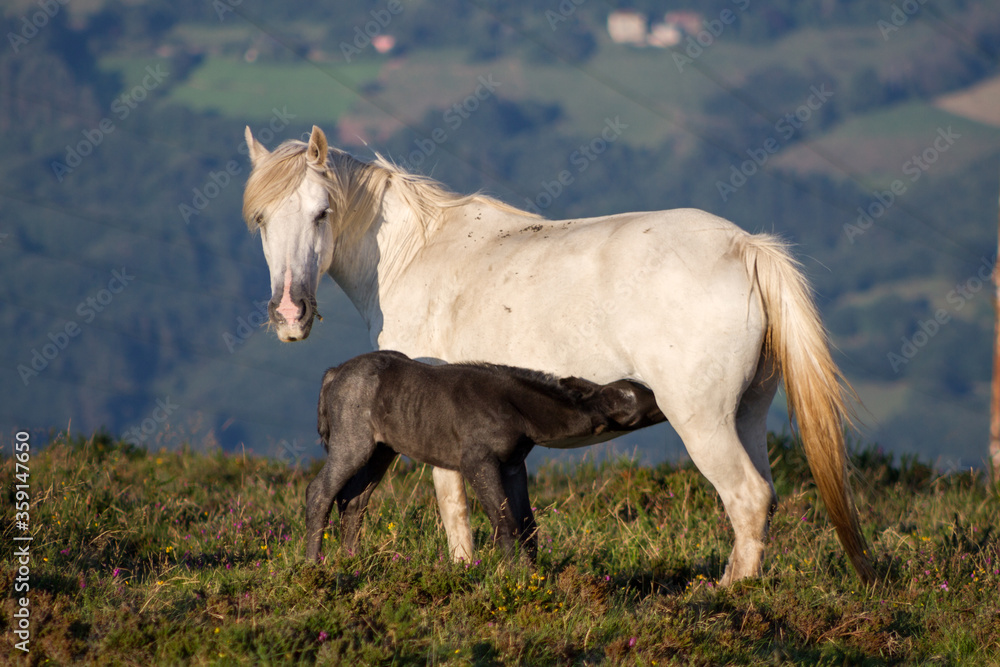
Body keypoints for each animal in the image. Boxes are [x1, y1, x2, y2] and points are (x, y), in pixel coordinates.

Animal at [306, 350, 666, 563]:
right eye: (638, 398)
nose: (665, 401)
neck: (518, 411)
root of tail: (333, 373)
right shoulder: (477, 462)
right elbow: (504, 523)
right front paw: (515, 579)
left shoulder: (513, 466)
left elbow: (528, 526)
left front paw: (535, 576)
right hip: (353, 442)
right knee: (320, 492)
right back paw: (312, 564)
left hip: (383, 450)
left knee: (354, 500)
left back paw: (351, 560)